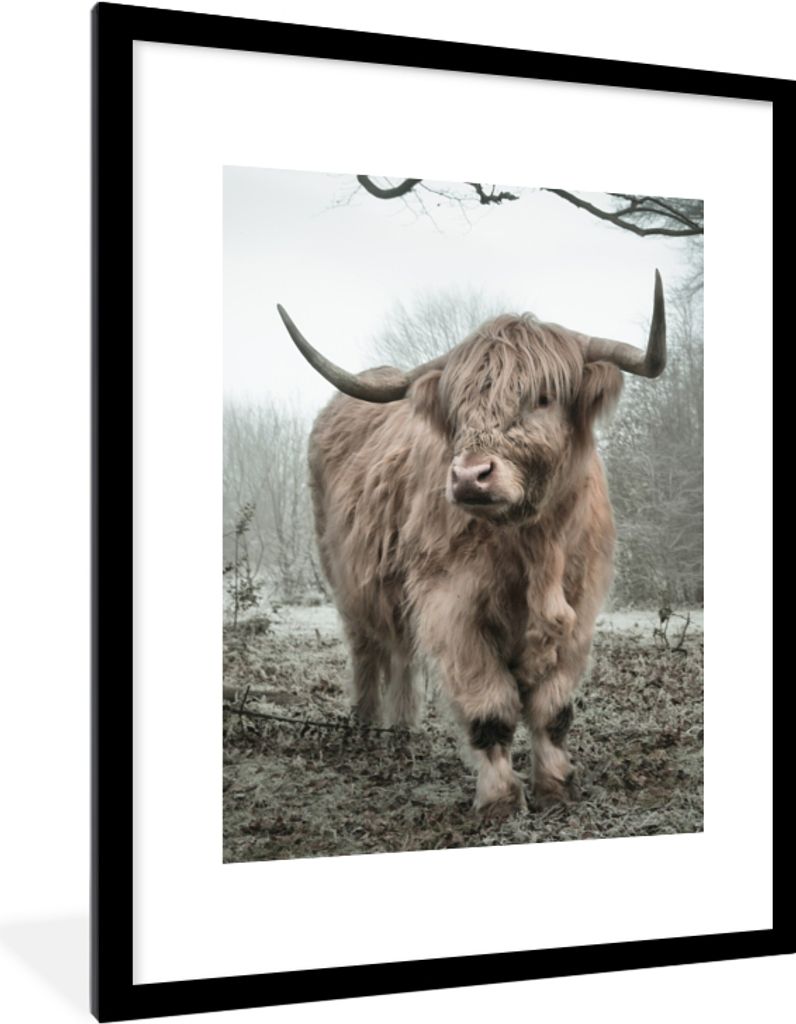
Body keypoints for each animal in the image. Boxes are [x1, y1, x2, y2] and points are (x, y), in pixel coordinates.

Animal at [276, 272, 666, 818]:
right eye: (458, 406)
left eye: (543, 396)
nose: (468, 477)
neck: (534, 546)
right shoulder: (452, 608)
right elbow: (490, 708)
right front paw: (500, 799)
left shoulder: (581, 608)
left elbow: (553, 709)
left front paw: (556, 787)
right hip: (348, 584)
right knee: (368, 651)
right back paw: (367, 729)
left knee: (401, 654)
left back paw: (402, 730)